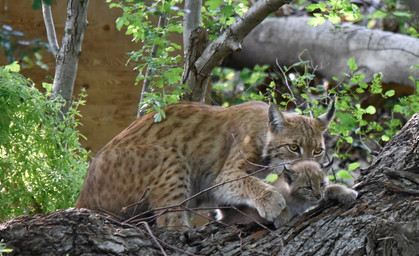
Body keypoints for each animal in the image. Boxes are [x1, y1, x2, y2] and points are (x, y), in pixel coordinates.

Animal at [76, 100, 334, 230]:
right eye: (294, 148)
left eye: (318, 151)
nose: (309, 165)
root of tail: (81, 198)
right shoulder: (223, 176)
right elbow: (249, 181)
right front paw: (271, 201)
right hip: (170, 155)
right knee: (168, 222)